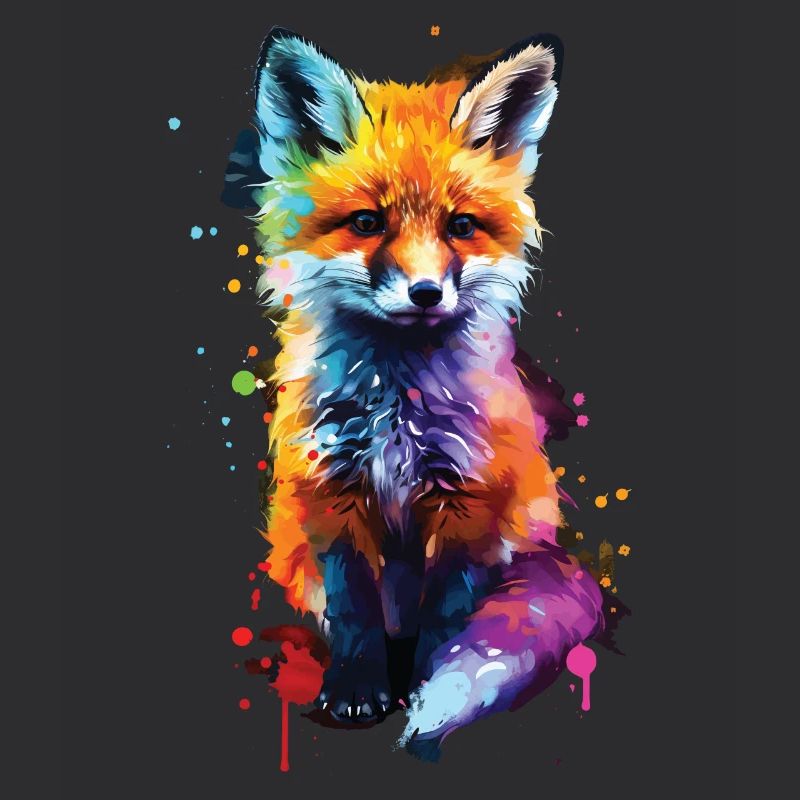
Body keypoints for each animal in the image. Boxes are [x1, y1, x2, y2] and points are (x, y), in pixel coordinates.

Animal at [231, 27, 605, 761]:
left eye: (460, 227)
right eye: (367, 223)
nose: (427, 293)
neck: (395, 406)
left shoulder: (469, 499)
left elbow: (447, 618)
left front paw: (425, 683)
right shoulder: (331, 492)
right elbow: (352, 609)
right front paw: (355, 690)